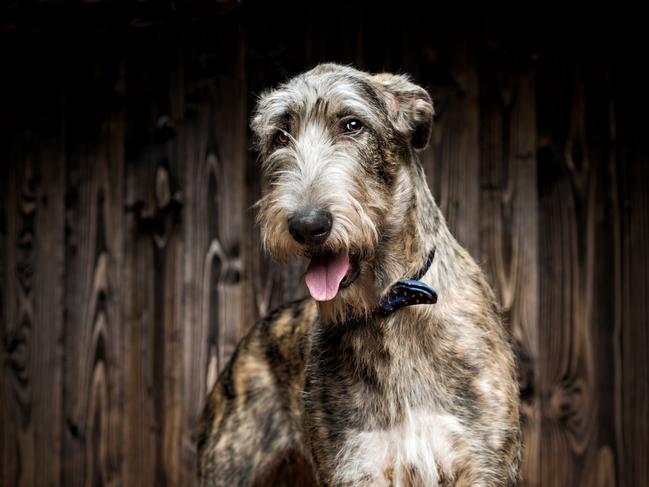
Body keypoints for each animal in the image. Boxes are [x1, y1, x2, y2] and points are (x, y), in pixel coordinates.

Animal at [197, 65, 520, 487]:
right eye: (280, 135)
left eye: (352, 125)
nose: (306, 225)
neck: (391, 308)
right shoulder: (354, 463)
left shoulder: (483, 461)